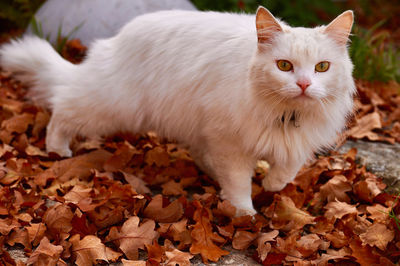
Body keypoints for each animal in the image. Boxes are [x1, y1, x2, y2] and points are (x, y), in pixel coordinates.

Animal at [0, 7, 356, 215]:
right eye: (284, 66)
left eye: (322, 67)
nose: (304, 85)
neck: (287, 114)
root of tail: (115, 40)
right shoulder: (230, 143)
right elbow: (240, 184)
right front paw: (244, 213)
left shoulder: (299, 140)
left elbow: (287, 169)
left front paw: (271, 185)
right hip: (111, 104)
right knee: (63, 106)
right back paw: (56, 148)